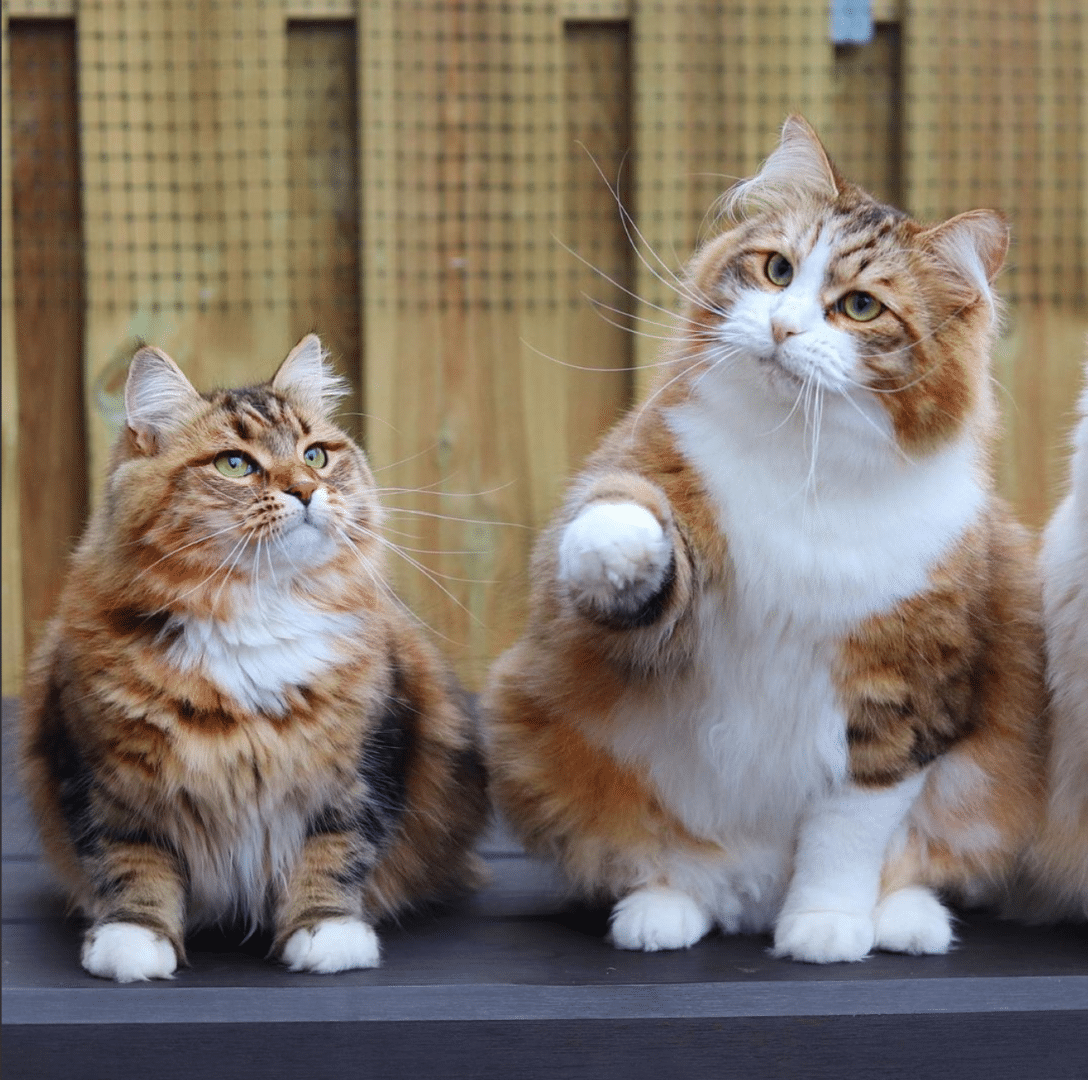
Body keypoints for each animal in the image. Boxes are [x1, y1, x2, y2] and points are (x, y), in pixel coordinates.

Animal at [20, 334, 489, 978]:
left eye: (315, 455)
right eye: (235, 464)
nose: (307, 490)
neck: (253, 611)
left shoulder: (367, 759)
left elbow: (336, 850)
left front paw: (326, 932)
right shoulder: (98, 772)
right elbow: (129, 862)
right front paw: (134, 940)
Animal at [483, 115, 1044, 961]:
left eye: (859, 307)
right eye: (777, 270)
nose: (782, 326)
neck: (801, 461)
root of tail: (751, 896)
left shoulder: (898, 703)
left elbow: (847, 839)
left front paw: (826, 925)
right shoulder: (650, 502)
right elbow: (625, 513)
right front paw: (611, 545)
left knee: (912, 865)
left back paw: (903, 922)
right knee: (672, 864)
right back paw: (666, 911)